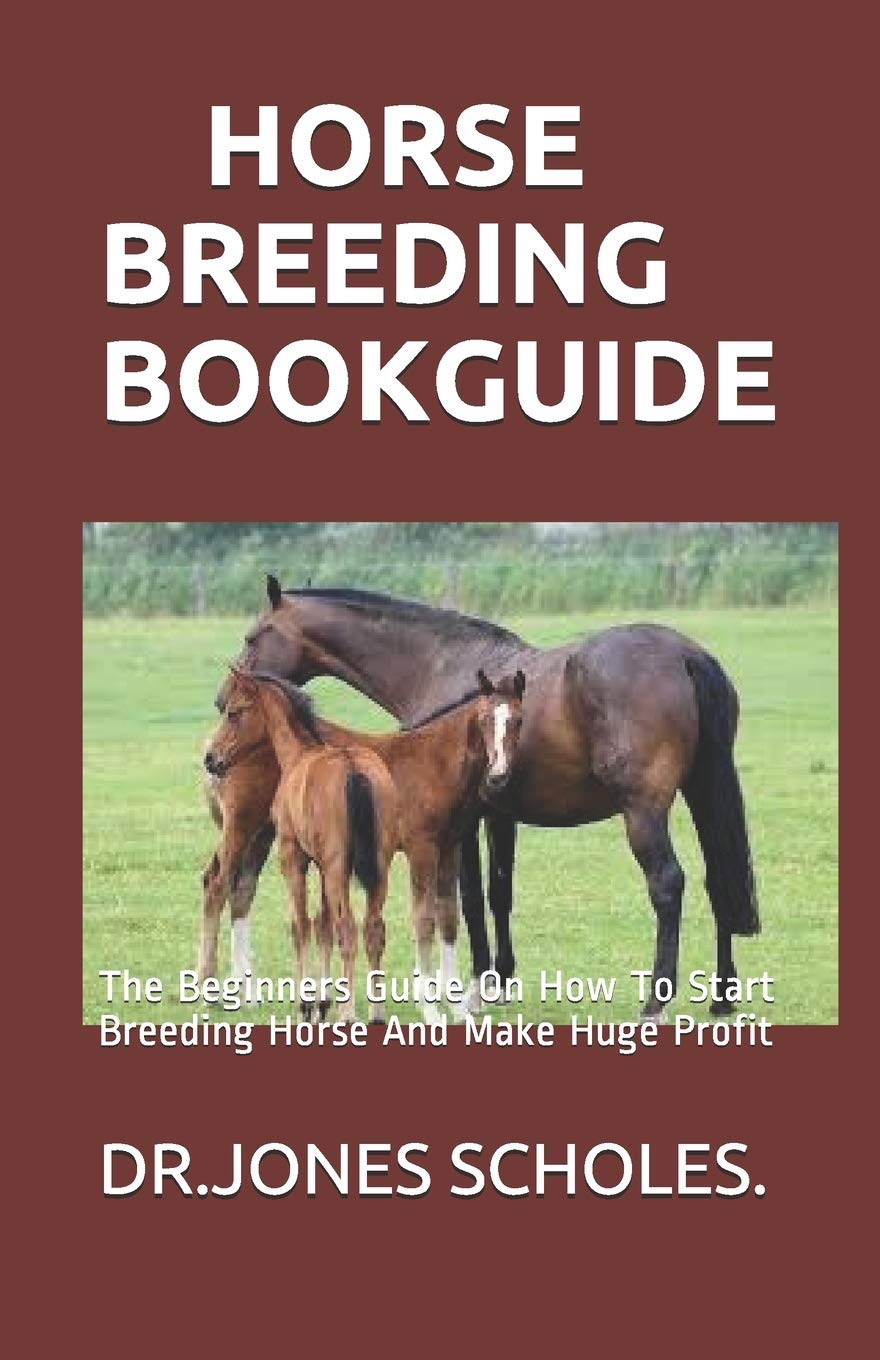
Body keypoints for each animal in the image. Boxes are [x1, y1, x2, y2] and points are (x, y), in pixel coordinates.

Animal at [202, 665, 526, 1021]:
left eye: (518, 721)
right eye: (484, 720)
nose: (211, 757)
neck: (435, 760)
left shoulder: (449, 848)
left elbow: (448, 919)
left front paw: (457, 1008)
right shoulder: (421, 850)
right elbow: (423, 921)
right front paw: (430, 1008)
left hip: (265, 837)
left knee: (241, 889)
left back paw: (243, 992)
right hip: (244, 829)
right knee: (217, 885)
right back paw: (210, 990)